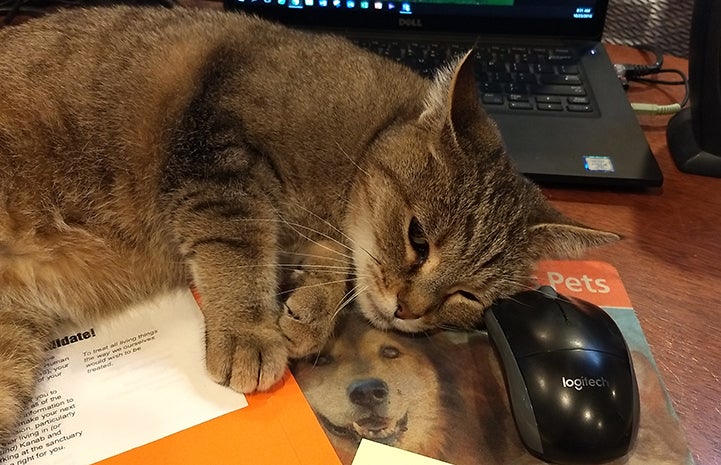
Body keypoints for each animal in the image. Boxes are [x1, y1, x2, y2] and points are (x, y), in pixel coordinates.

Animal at [1, 5, 620, 444]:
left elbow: (328, 263)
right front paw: (250, 331)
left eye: (467, 296)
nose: (409, 311)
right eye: (418, 239)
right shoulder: (215, 156)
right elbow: (239, 247)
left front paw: (309, 311)